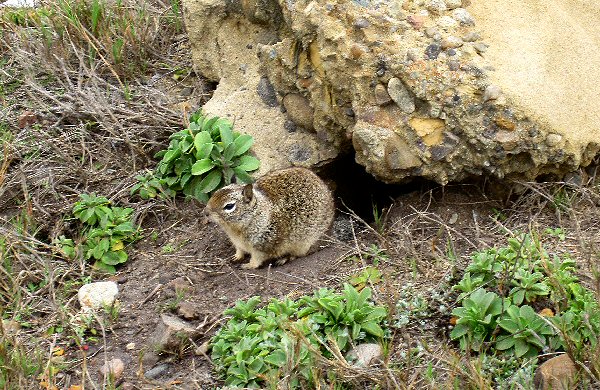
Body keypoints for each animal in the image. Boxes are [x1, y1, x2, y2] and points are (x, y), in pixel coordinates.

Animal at [207, 166, 336, 270]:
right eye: (215, 193)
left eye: (229, 206)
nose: (206, 212)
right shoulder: (238, 243)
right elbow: (240, 250)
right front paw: (236, 257)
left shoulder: (262, 247)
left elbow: (256, 260)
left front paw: (247, 265)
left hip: (305, 243)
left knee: (298, 254)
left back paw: (283, 259)